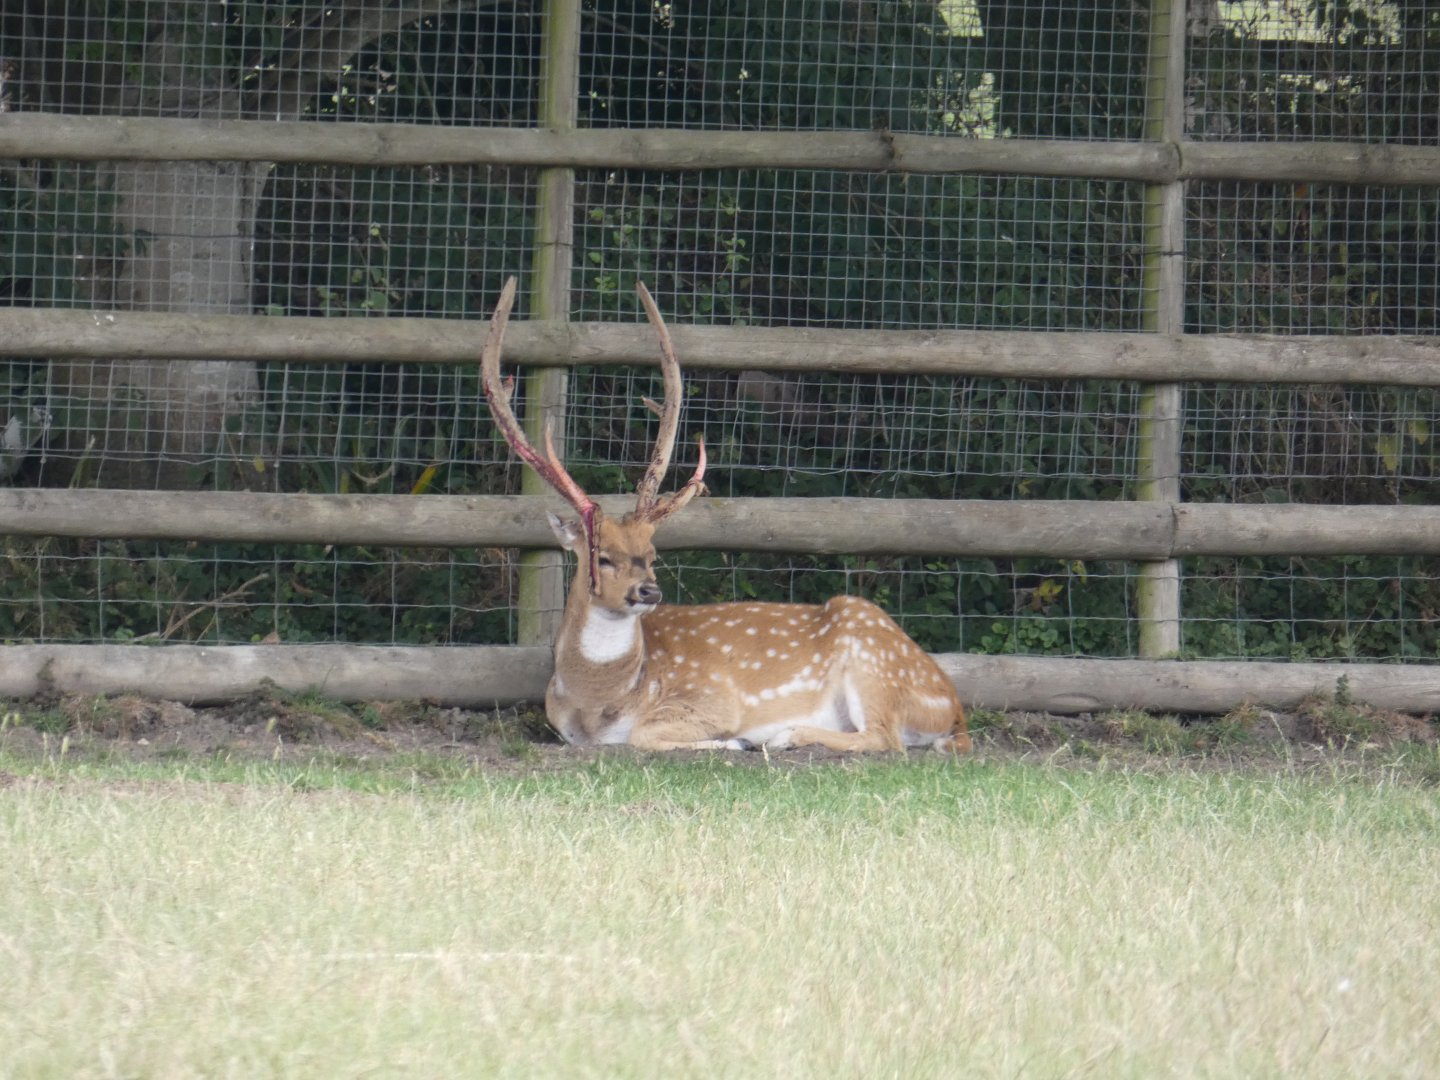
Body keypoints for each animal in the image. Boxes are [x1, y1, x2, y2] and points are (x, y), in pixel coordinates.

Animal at [480, 276, 971, 754]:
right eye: (602, 557)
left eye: (653, 554)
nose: (649, 591)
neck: (597, 703)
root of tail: (954, 711)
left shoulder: (715, 696)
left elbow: (646, 734)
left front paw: (735, 740)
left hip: (872, 661)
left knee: (886, 738)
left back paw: (784, 736)